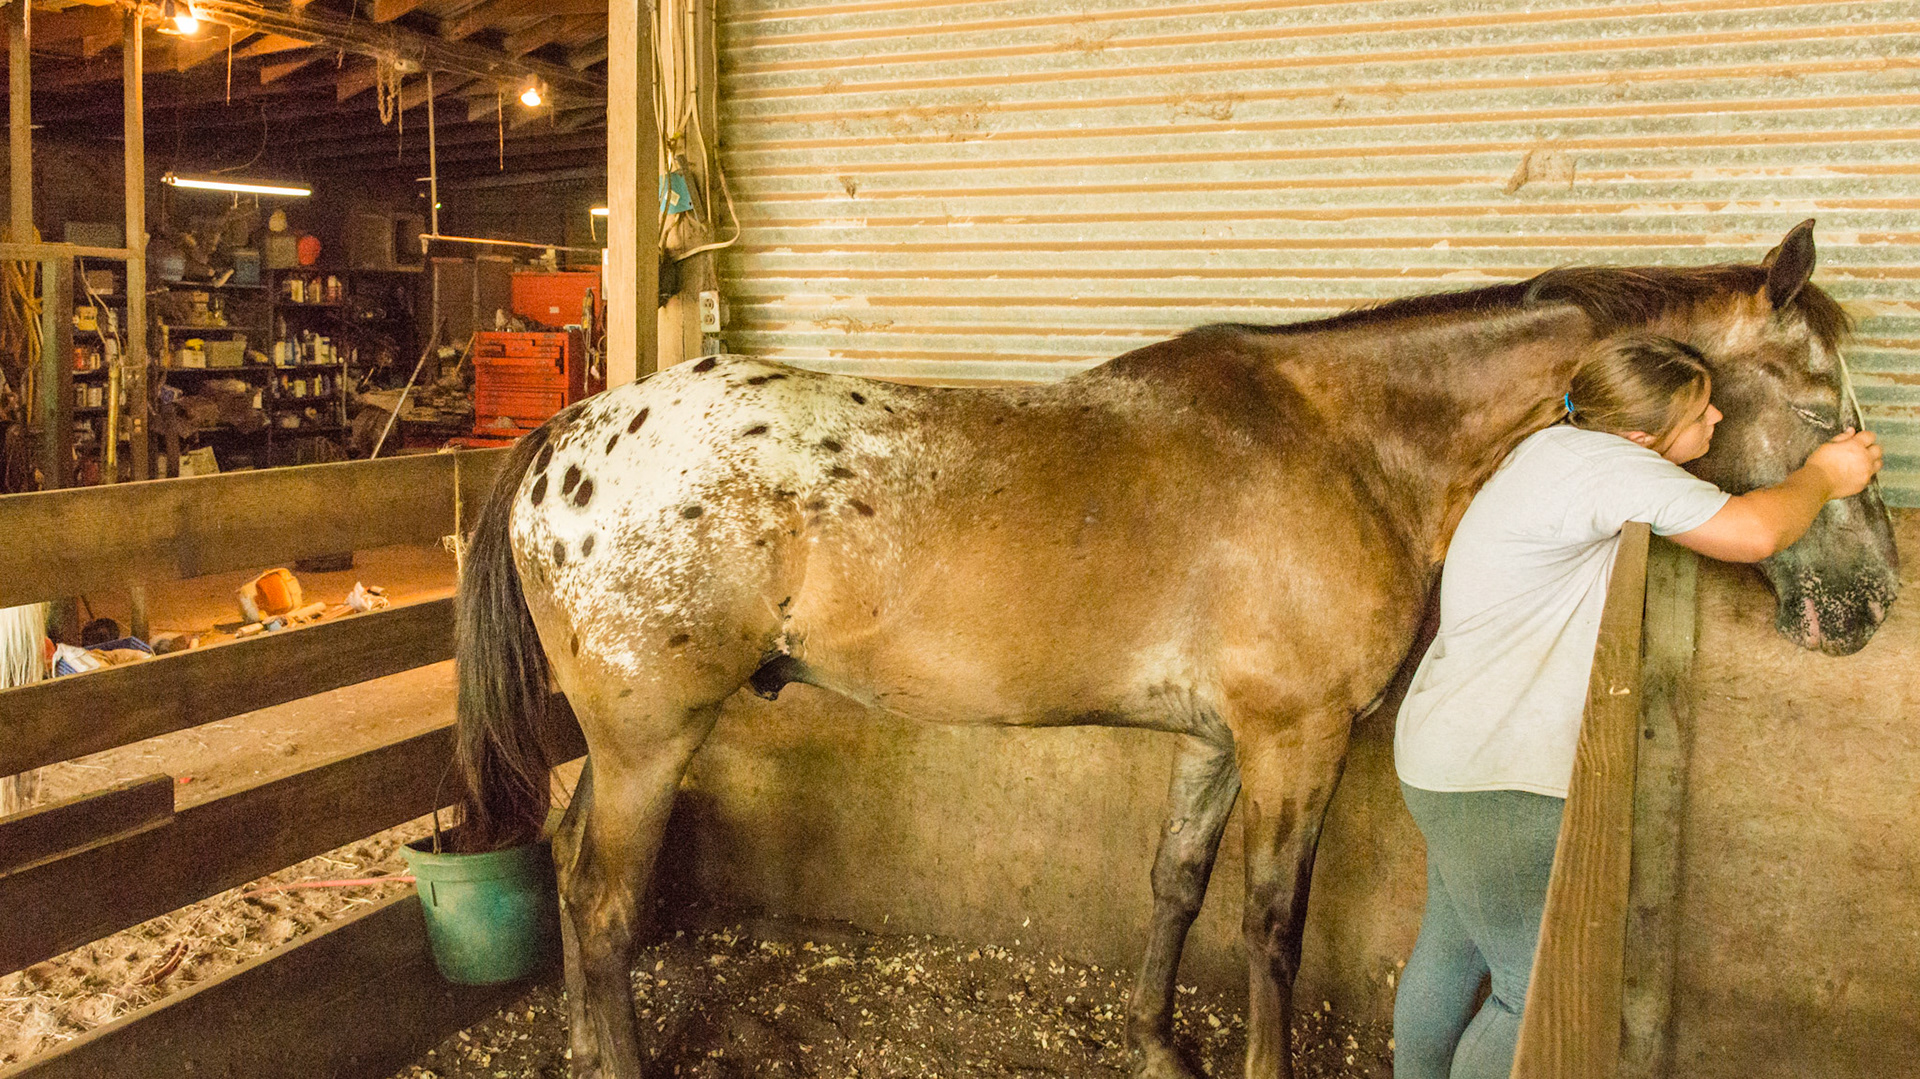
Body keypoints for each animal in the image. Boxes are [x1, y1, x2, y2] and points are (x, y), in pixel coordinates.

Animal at [454, 220, 1897, 1079]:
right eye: (1824, 403)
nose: (1871, 599)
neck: (1349, 437)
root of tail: (571, 437)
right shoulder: (1297, 740)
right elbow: (1272, 924)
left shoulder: (1215, 740)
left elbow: (1175, 887)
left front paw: (1156, 1045)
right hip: (651, 739)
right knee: (602, 900)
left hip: (620, 745)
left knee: (577, 875)